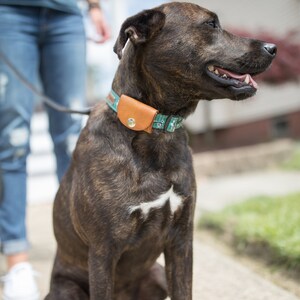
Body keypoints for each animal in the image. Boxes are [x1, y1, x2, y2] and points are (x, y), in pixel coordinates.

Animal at [46, 2, 276, 300]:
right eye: (211, 24)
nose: (273, 47)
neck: (156, 128)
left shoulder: (181, 241)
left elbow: (184, 290)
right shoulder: (102, 252)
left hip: (155, 275)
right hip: (67, 290)